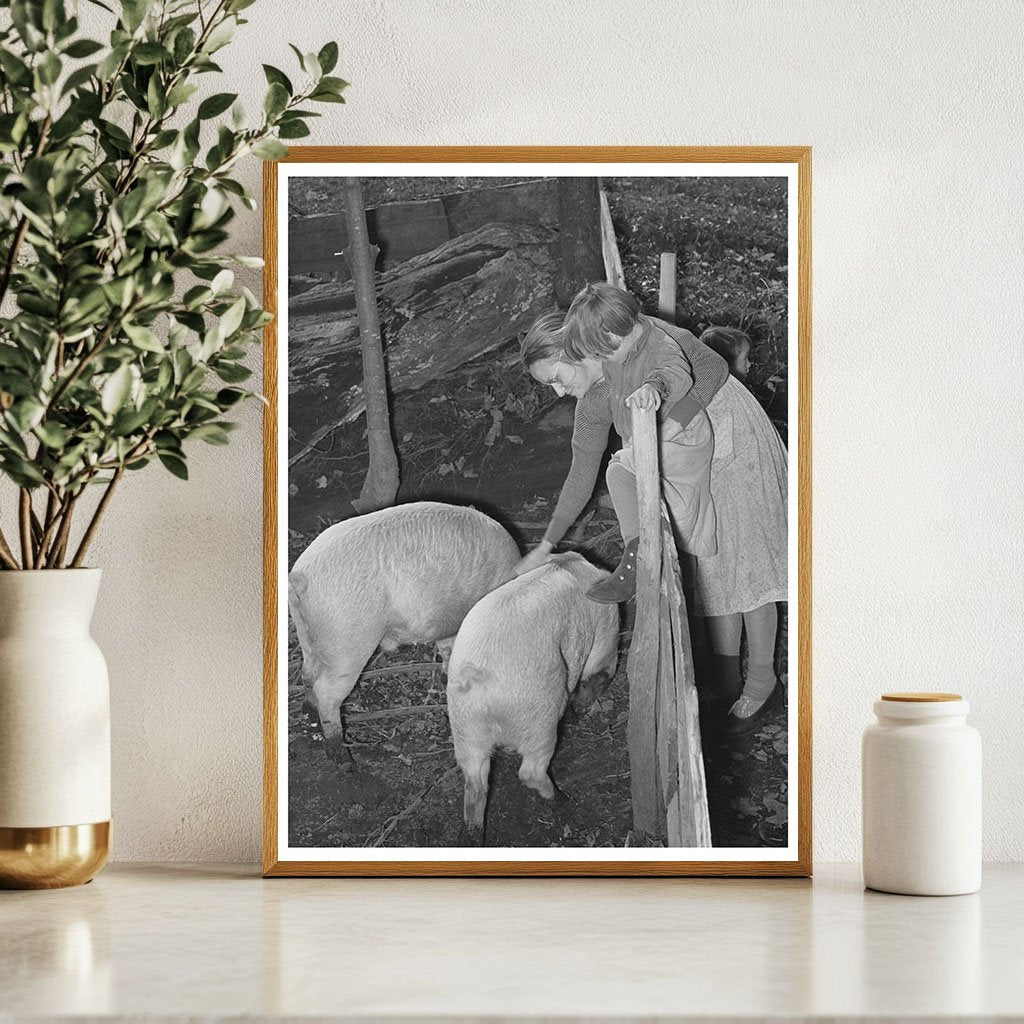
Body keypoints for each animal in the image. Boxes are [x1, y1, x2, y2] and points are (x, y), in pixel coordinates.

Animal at [290, 499, 520, 765]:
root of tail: (301, 576)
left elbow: (448, 649)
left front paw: (446, 677)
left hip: (308, 633)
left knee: (308, 674)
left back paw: (309, 712)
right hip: (347, 639)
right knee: (327, 692)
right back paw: (346, 762)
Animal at [446, 552, 614, 839]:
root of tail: (476, 681)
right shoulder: (604, 634)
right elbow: (598, 671)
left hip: (464, 726)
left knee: (475, 781)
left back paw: (473, 832)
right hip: (539, 715)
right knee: (530, 771)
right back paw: (562, 800)